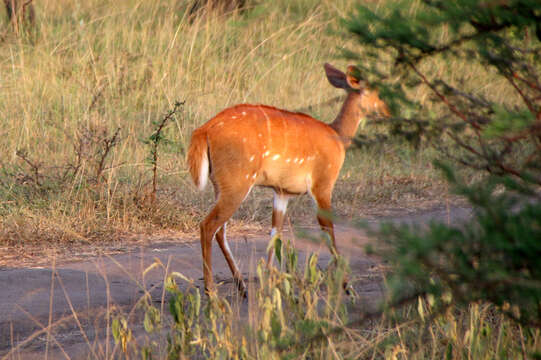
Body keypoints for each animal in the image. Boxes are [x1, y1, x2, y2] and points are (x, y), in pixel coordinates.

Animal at [186, 63, 388, 294]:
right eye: (377, 91)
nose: (388, 111)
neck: (337, 137)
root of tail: (204, 131)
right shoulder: (322, 184)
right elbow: (328, 228)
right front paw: (347, 286)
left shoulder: (281, 192)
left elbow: (275, 232)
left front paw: (268, 279)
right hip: (238, 183)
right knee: (208, 226)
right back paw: (211, 290)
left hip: (221, 186)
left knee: (220, 230)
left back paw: (242, 286)